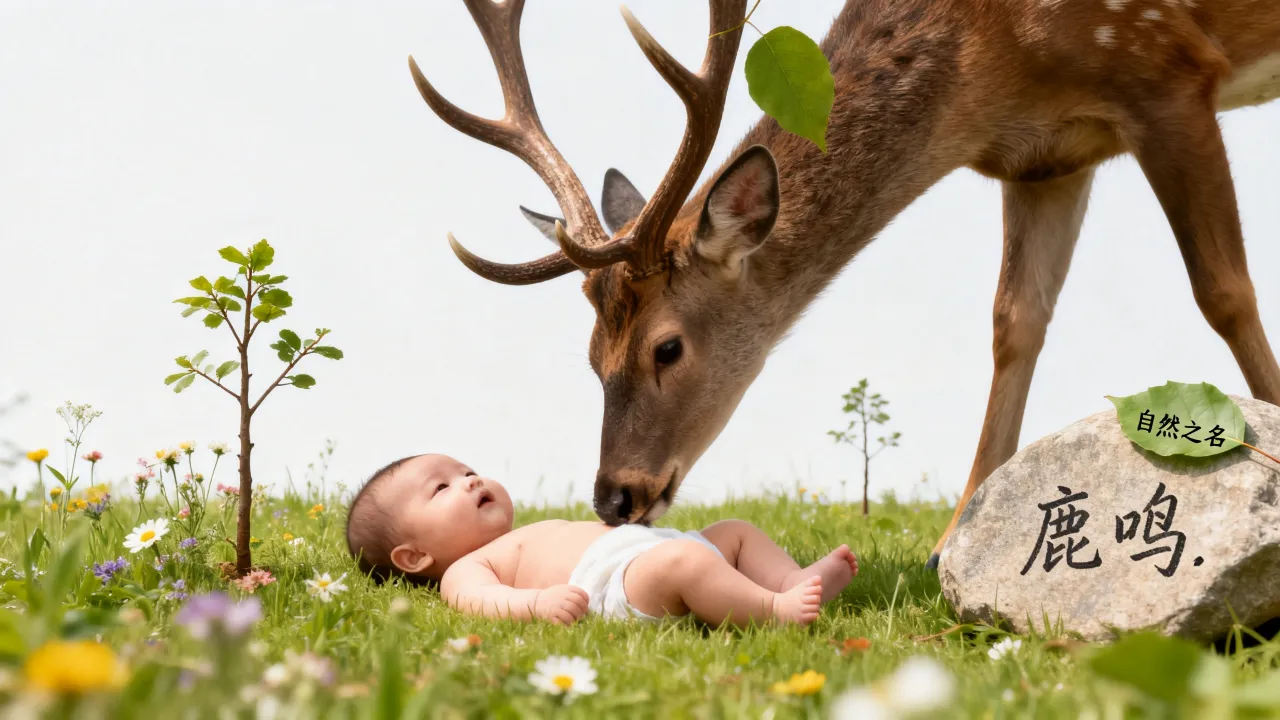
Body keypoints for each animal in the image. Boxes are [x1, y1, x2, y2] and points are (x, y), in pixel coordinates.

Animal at [408, 0, 1280, 568]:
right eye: (591, 358)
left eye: (667, 348)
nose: (614, 498)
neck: (989, 65)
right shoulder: (1047, 157)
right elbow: (1015, 322)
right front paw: (946, 549)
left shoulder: (1165, 68)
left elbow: (1225, 291)